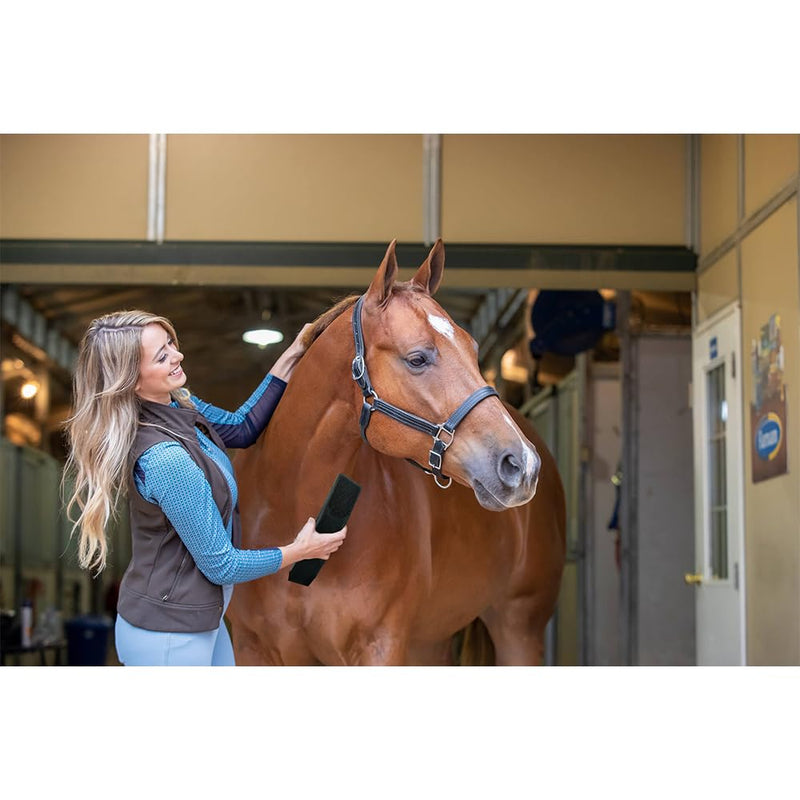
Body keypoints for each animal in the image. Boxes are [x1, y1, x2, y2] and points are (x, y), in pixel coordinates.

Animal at [227, 239, 566, 665]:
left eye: (473, 350)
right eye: (417, 358)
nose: (521, 464)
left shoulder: (379, 646)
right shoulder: (252, 648)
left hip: (518, 628)